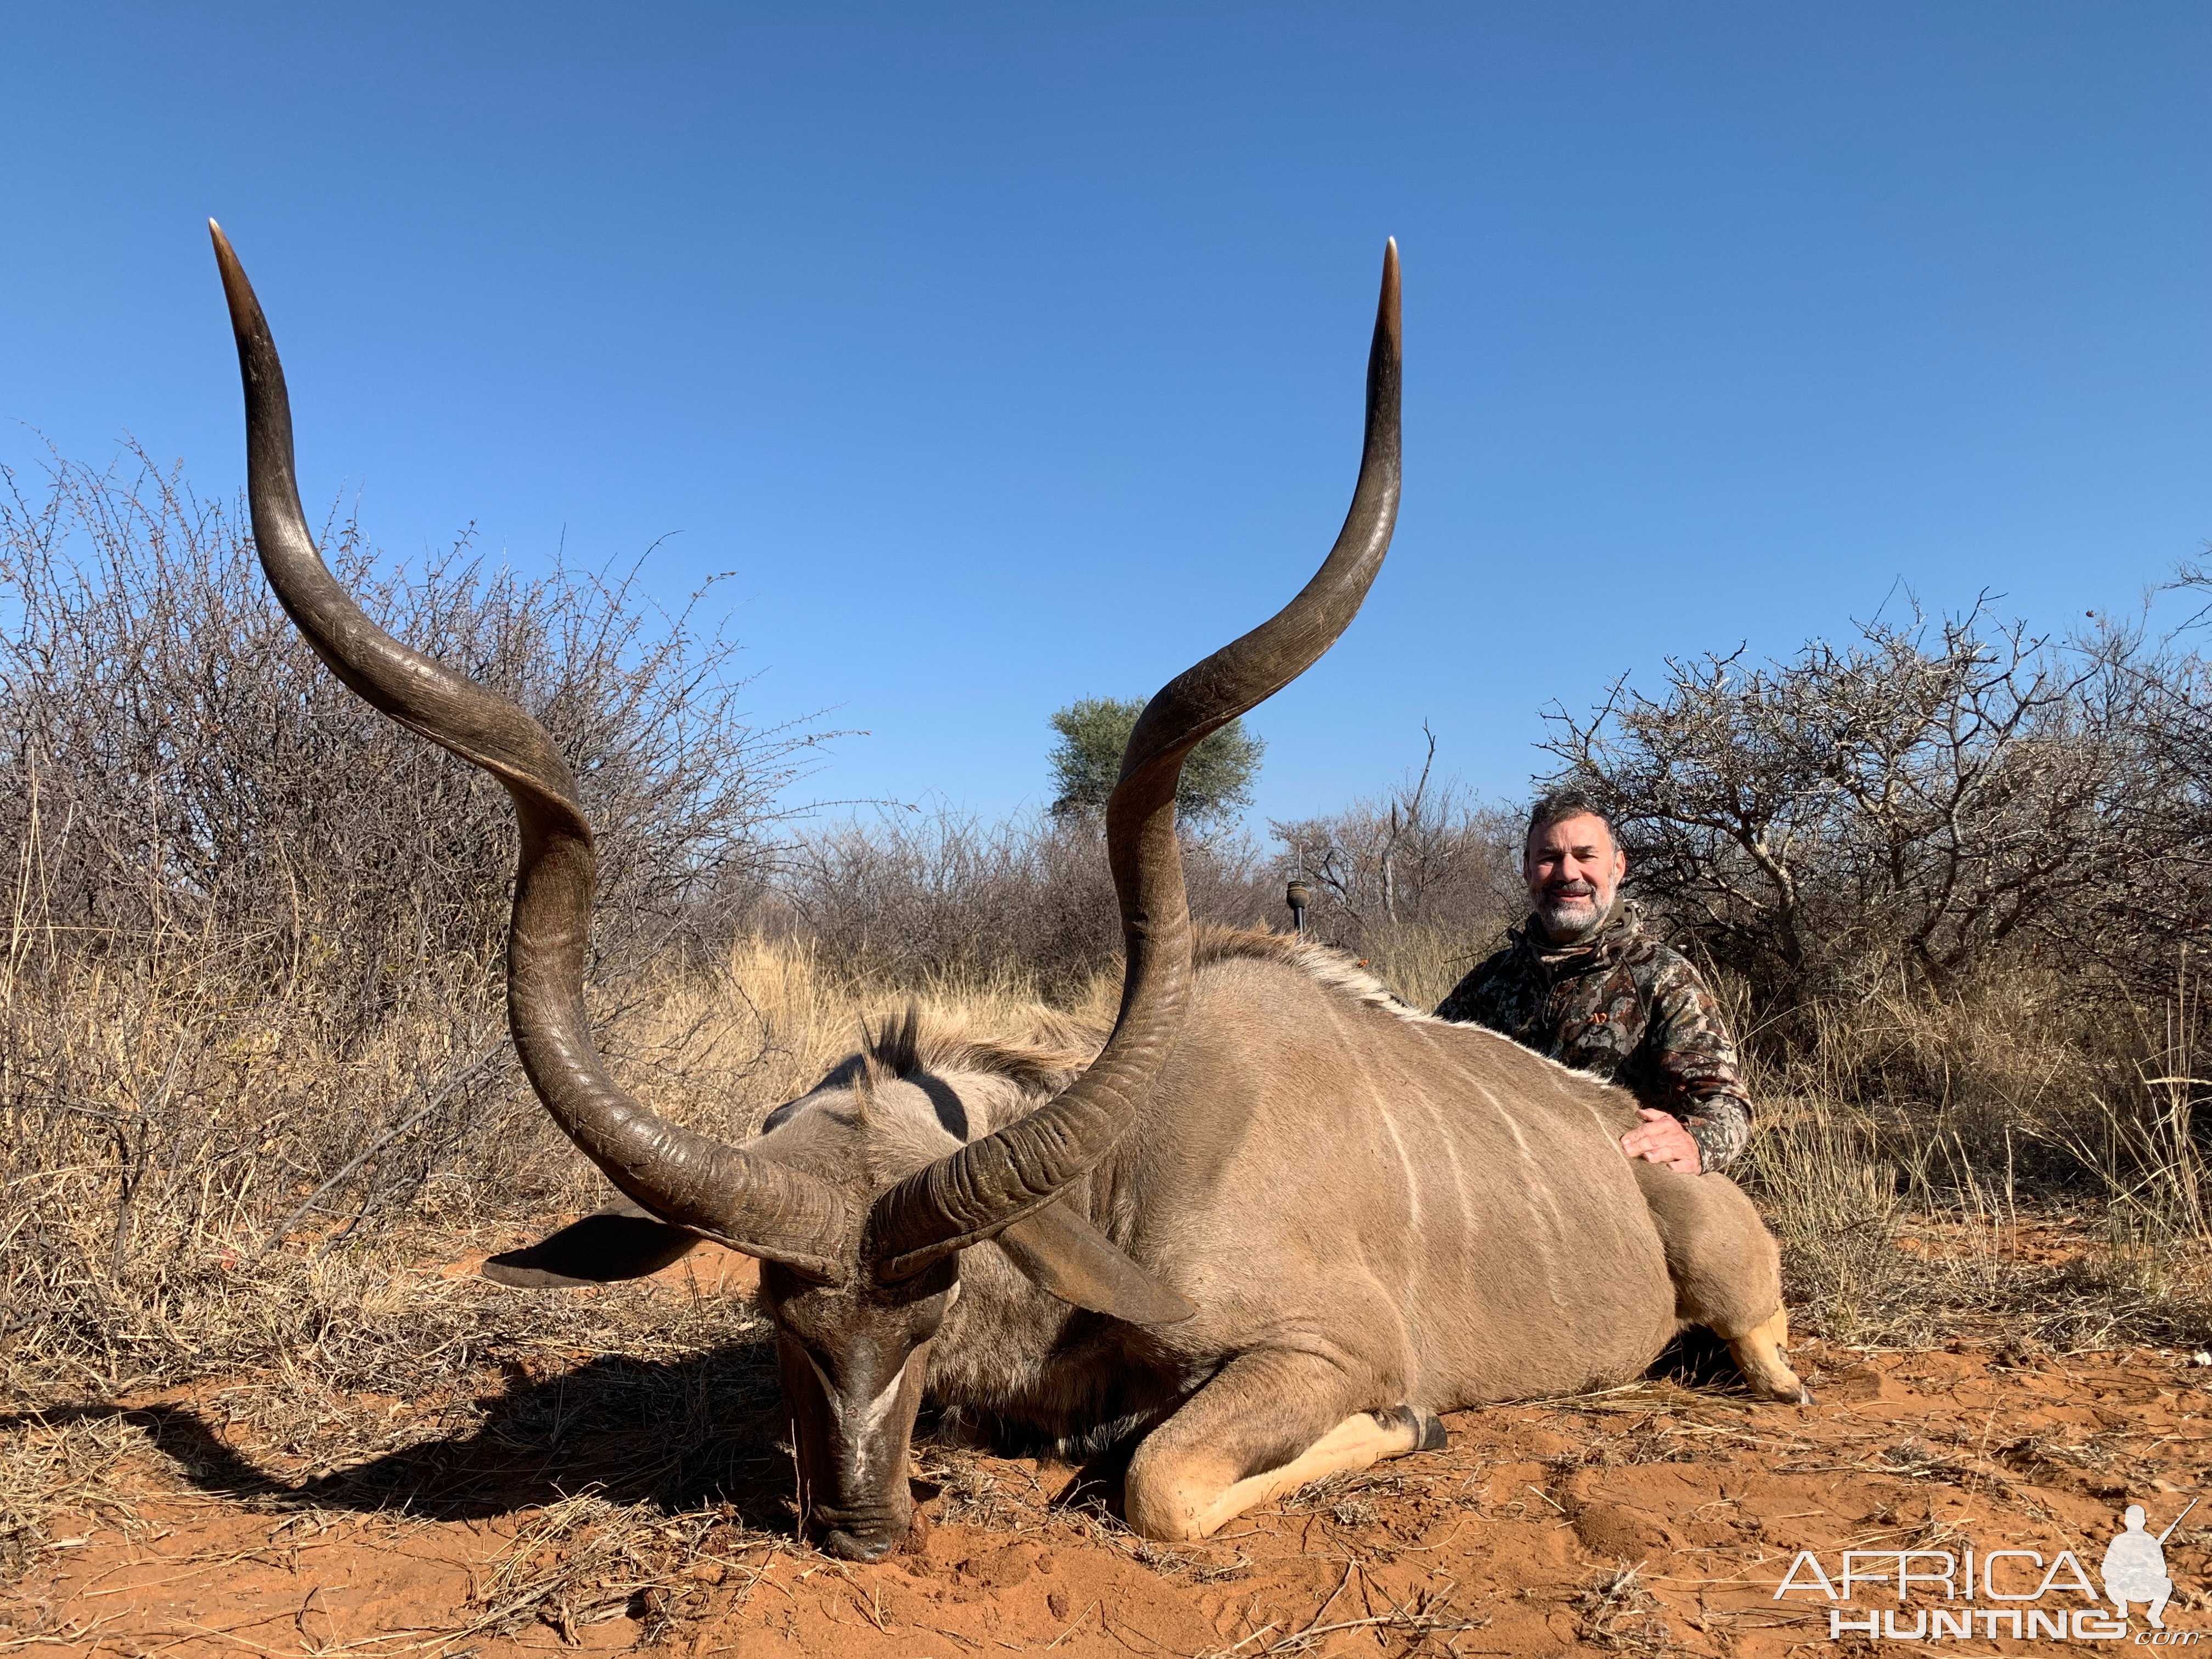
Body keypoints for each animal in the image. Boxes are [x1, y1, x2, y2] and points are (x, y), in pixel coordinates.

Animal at [208, 228, 1805, 1566]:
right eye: (776, 1306)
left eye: (935, 1300)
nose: (859, 1526)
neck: (1133, 1171)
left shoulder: (1327, 1345)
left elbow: (1170, 1480)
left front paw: (1357, 1428)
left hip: (1740, 1296)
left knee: (1765, 1355)